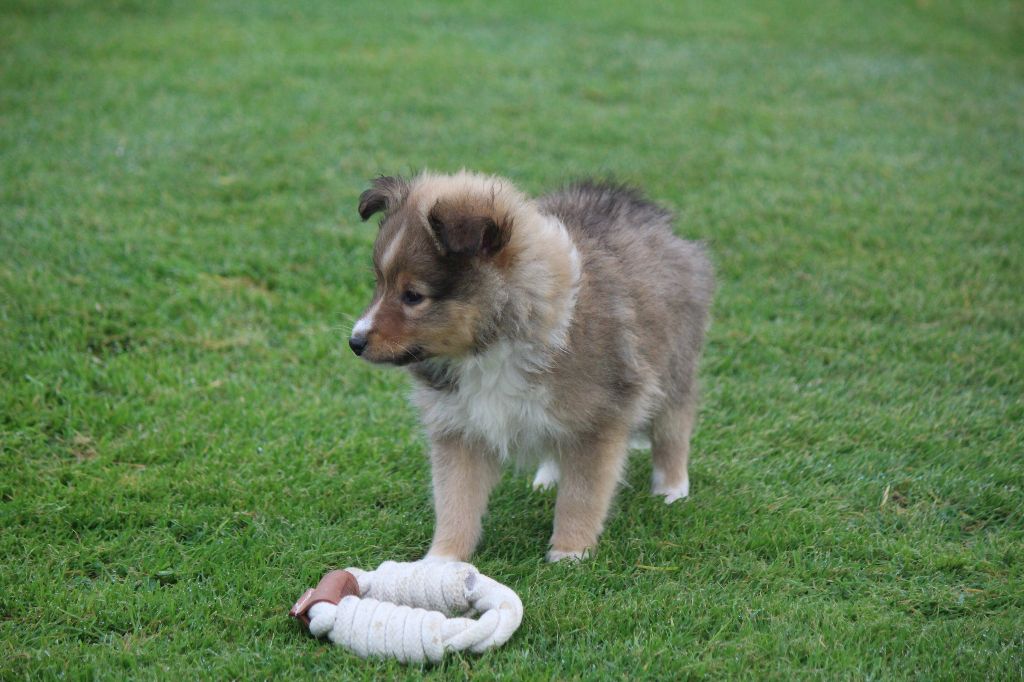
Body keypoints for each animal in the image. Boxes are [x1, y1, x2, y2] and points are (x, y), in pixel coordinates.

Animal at [350, 168, 712, 557]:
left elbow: (581, 496)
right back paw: (549, 477)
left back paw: (672, 489)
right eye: (379, 283)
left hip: (674, 367)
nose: (354, 342)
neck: (492, 344)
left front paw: (570, 552)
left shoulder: (597, 420)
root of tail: (639, 207)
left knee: (674, 428)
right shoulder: (460, 427)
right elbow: (456, 500)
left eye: (413, 296)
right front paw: (441, 560)